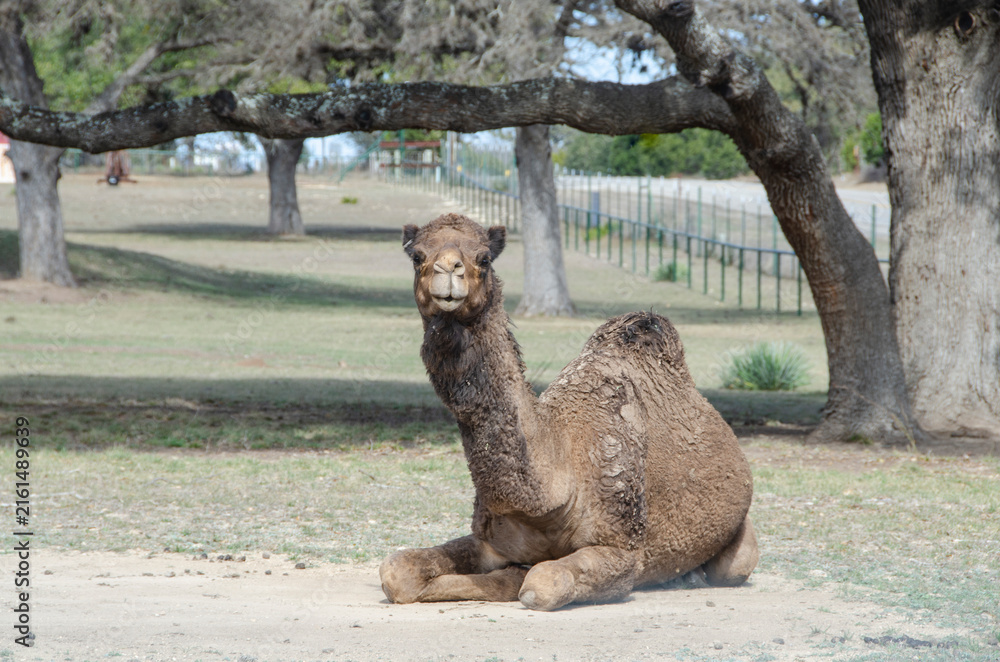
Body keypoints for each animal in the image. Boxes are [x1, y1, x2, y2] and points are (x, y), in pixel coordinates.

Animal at [380, 213, 758, 611]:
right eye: (417, 256)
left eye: (484, 258)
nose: (448, 270)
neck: (556, 486)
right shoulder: (490, 542)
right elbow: (396, 570)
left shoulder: (623, 549)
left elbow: (541, 583)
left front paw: (518, 578)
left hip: (739, 538)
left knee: (731, 566)